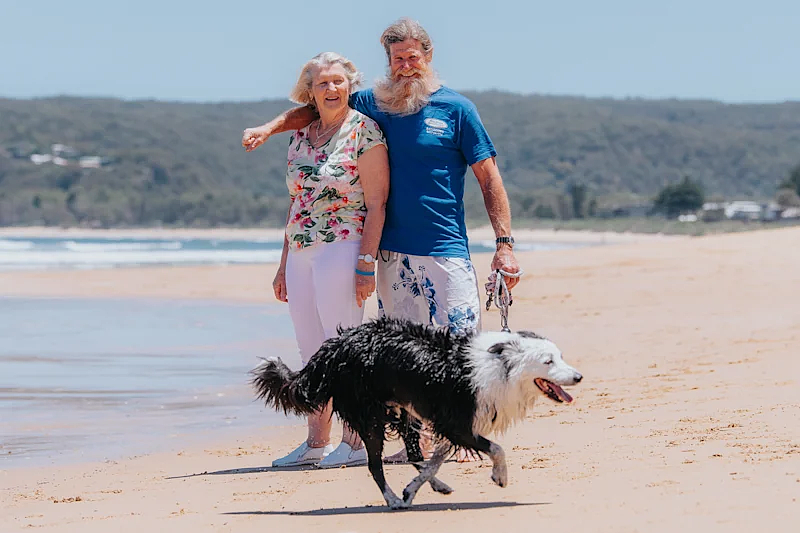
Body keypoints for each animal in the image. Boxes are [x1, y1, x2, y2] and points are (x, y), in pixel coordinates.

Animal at [251, 316, 582, 509]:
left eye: (560, 356)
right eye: (548, 361)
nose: (578, 377)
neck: (501, 366)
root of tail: (335, 347)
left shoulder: (450, 424)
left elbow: (435, 460)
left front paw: (416, 486)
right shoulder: (456, 423)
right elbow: (497, 448)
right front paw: (500, 476)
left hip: (404, 411)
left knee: (412, 453)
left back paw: (427, 487)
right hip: (371, 417)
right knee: (375, 465)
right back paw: (393, 500)